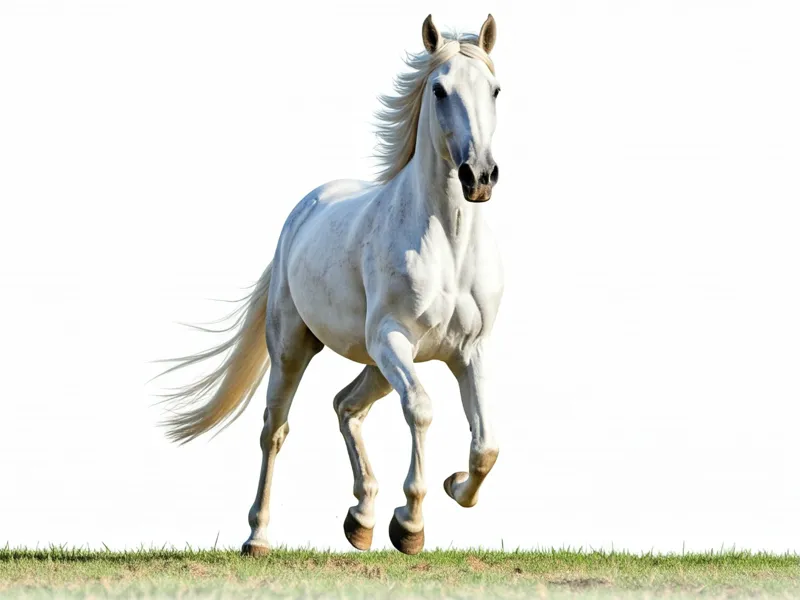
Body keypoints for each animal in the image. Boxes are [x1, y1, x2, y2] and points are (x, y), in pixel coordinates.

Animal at [158, 14, 503, 556]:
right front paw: (410, 526)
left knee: (346, 406)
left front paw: (451, 488)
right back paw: (259, 536)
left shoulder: (470, 351)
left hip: (378, 365)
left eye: (495, 89)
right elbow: (422, 409)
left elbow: (486, 444)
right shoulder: (392, 340)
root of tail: (305, 209)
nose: (480, 176)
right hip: (297, 349)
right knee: (275, 430)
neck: (447, 245)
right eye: (439, 89)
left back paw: (361, 519)